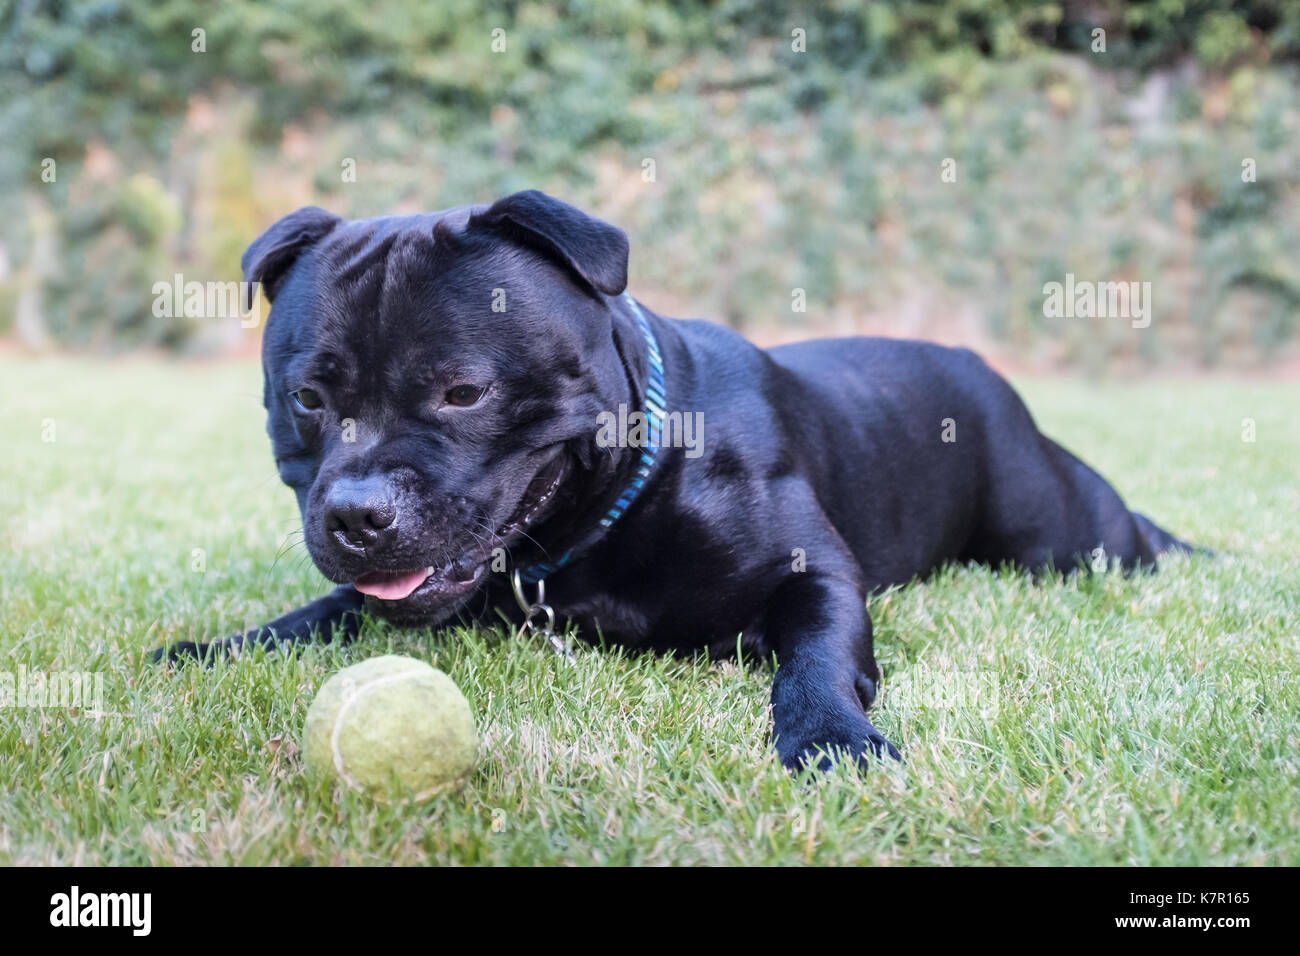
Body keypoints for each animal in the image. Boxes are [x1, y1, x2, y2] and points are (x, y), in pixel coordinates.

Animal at [154, 192, 1196, 770]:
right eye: (306, 398)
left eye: (463, 391)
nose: (356, 515)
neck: (610, 512)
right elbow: (324, 611)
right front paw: (220, 645)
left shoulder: (815, 578)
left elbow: (815, 660)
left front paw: (831, 740)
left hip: (1065, 535)